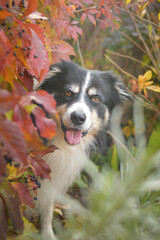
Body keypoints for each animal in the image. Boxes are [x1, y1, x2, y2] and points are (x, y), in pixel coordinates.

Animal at [35, 60, 132, 238]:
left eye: (96, 98)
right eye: (68, 92)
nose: (78, 118)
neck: (61, 144)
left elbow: (48, 210)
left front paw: (48, 234)